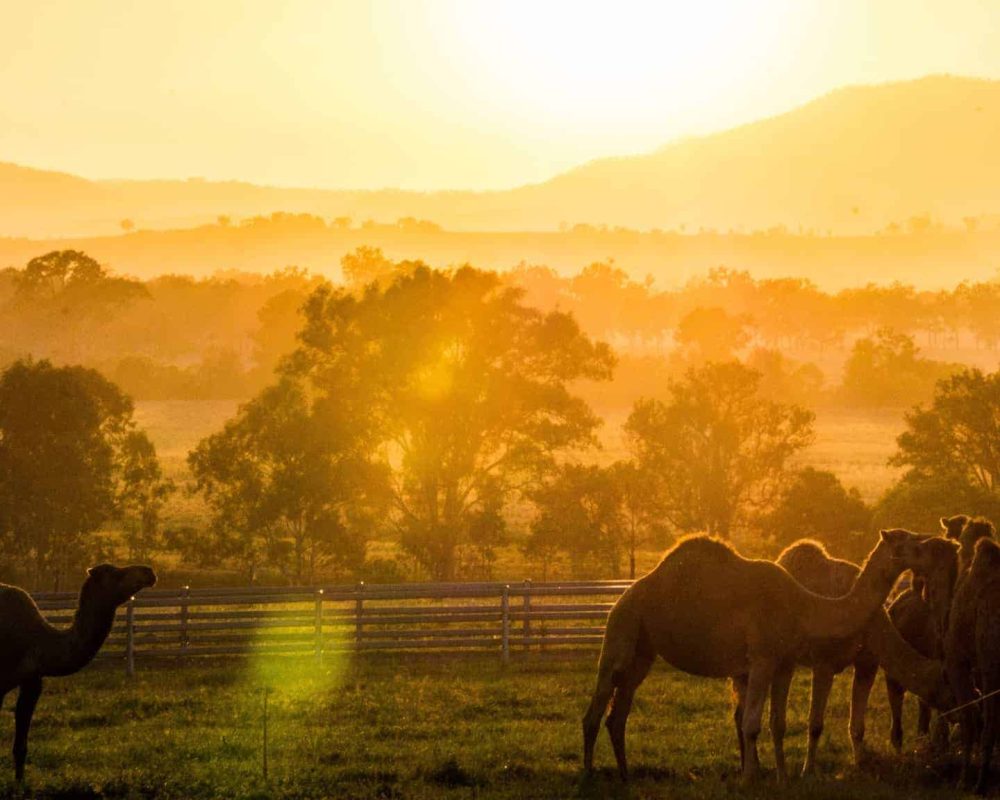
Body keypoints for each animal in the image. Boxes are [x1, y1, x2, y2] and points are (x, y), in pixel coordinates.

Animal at [0, 563, 156, 782]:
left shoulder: (32, 680)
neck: (37, 642)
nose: (149, 572)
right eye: (116, 573)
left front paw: (20, 784)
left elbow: (20, 747)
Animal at [582, 529, 937, 783]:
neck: (804, 606)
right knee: (596, 706)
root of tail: (623, 596)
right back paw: (588, 776)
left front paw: (781, 777)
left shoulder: (783, 662)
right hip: (622, 629)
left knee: (618, 712)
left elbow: (776, 723)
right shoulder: (763, 658)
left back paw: (625, 776)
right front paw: (750, 779)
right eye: (911, 543)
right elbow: (751, 723)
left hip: (643, 649)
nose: (933, 544)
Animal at [778, 538, 956, 774]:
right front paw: (808, 770)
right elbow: (815, 724)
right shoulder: (824, 663)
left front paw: (860, 763)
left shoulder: (867, 663)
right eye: (948, 689)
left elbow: (857, 725)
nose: (958, 716)